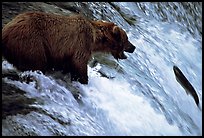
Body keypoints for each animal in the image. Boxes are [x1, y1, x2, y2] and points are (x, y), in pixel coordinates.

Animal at [2, 11, 135, 84]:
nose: (133, 47)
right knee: (37, 62)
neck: (95, 38)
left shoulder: (64, 53)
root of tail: (6, 30)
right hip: (32, 41)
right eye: (126, 39)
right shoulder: (82, 43)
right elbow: (79, 62)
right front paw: (83, 80)